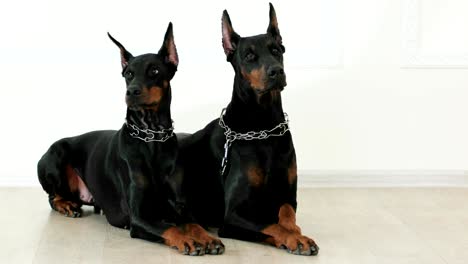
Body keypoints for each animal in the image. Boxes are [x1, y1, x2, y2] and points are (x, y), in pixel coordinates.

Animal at [37, 23, 224, 256]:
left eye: (154, 70)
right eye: (128, 73)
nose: (131, 91)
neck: (152, 137)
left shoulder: (181, 204)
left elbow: (194, 223)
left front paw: (208, 238)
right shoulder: (138, 216)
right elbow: (169, 227)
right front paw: (188, 240)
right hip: (57, 152)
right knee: (52, 196)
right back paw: (67, 206)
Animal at [178, 3, 318, 256]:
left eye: (277, 50)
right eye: (250, 56)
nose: (276, 71)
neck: (264, 126)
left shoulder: (288, 196)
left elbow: (287, 217)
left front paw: (295, 234)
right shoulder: (233, 215)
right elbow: (271, 225)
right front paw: (295, 239)